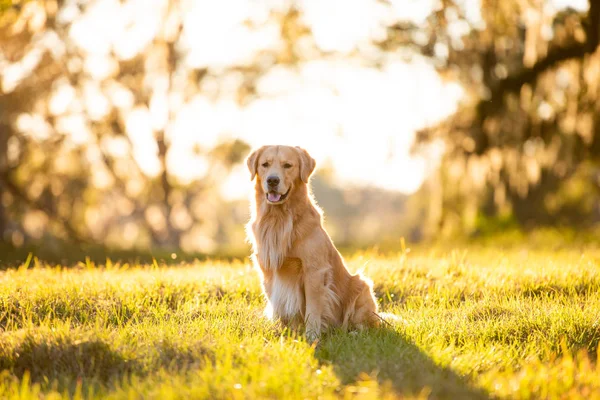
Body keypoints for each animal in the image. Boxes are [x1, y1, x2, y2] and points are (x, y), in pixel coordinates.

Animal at [245, 145, 380, 340]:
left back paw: (354, 333)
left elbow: (313, 309)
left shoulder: (314, 272)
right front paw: (285, 333)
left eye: (287, 165)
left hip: (362, 287)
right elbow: (278, 305)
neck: (279, 218)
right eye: (265, 164)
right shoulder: (268, 271)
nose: (272, 180)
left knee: (366, 325)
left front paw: (311, 337)